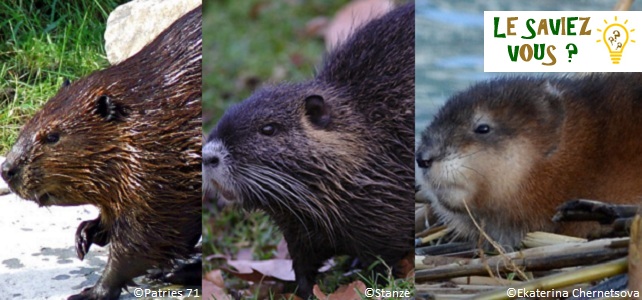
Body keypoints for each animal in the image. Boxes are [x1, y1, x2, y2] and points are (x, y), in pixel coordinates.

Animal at [0, 5, 200, 300]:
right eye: (30, 121)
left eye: (52, 136)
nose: (7, 169)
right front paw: (86, 234)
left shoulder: (162, 173)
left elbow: (146, 239)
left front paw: (92, 291)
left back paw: (172, 272)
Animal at [201, 2, 416, 298]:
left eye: (269, 129)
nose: (208, 155)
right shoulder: (298, 232)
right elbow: (303, 265)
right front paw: (303, 290)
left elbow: (384, 261)